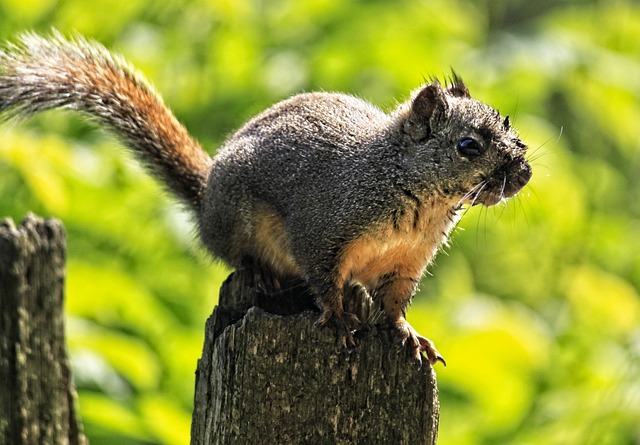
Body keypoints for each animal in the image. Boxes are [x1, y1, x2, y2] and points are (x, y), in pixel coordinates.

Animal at [0, 32, 528, 368]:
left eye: (508, 126)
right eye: (468, 145)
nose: (522, 173)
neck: (420, 202)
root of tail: (207, 200)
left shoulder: (407, 262)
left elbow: (394, 305)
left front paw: (406, 334)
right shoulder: (323, 230)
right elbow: (325, 282)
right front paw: (340, 321)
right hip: (237, 220)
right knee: (236, 255)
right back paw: (260, 272)